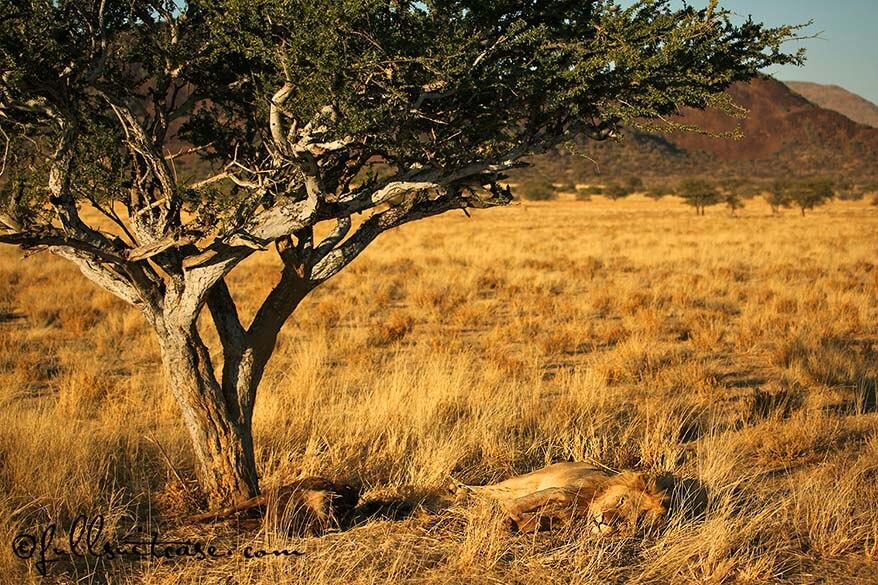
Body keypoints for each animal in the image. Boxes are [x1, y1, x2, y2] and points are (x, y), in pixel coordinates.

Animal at [458, 460, 672, 532]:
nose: (605, 521)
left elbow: (535, 521)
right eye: (622, 500)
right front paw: (502, 518)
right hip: (526, 480)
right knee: (488, 489)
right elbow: (519, 504)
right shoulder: (559, 491)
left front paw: (515, 523)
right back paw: (458, 490)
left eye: (631, 520)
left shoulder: (562, 517)